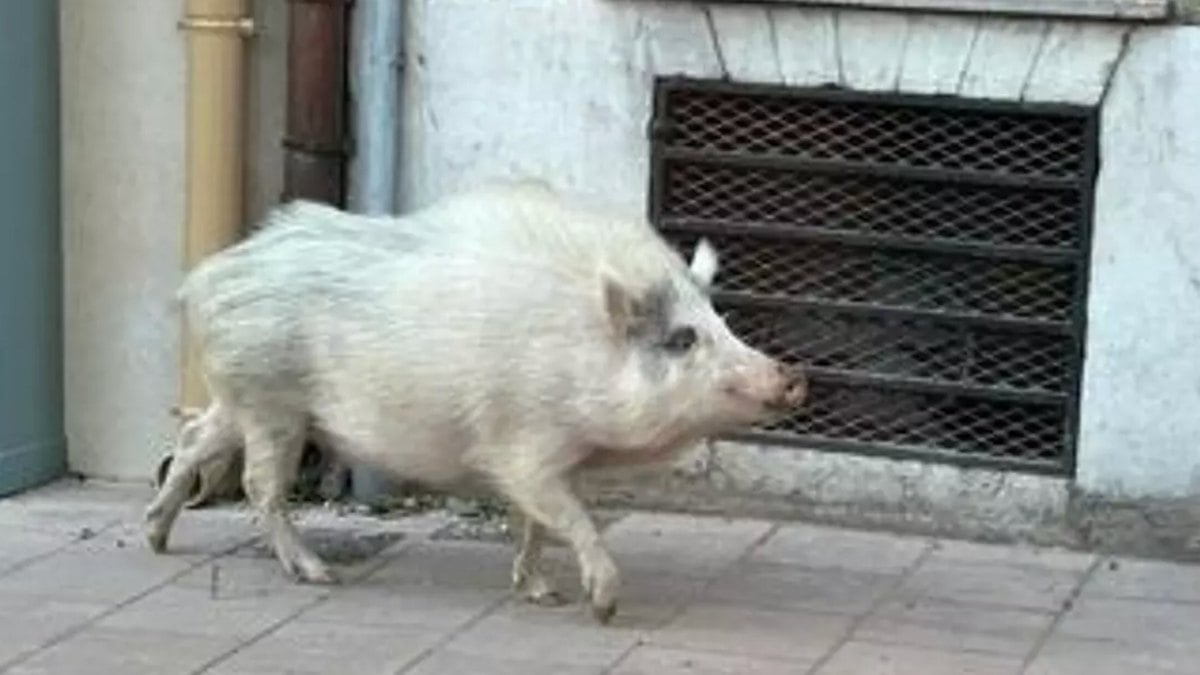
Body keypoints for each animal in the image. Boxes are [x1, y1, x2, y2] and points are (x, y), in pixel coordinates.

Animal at [147, 177, 806, 619]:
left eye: (722, 321)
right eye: (683, 338)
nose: (792, 373)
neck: (577, 353)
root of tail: (206, 278)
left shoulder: (556, 458)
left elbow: (537, 524)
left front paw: (542, 593)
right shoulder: (523, 446)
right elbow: (570, 517)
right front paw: (602, 607)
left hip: (243, 401)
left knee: (193, 439)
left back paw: (156, 537)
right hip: (273, 405)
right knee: (260, 484)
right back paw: (319, 574)